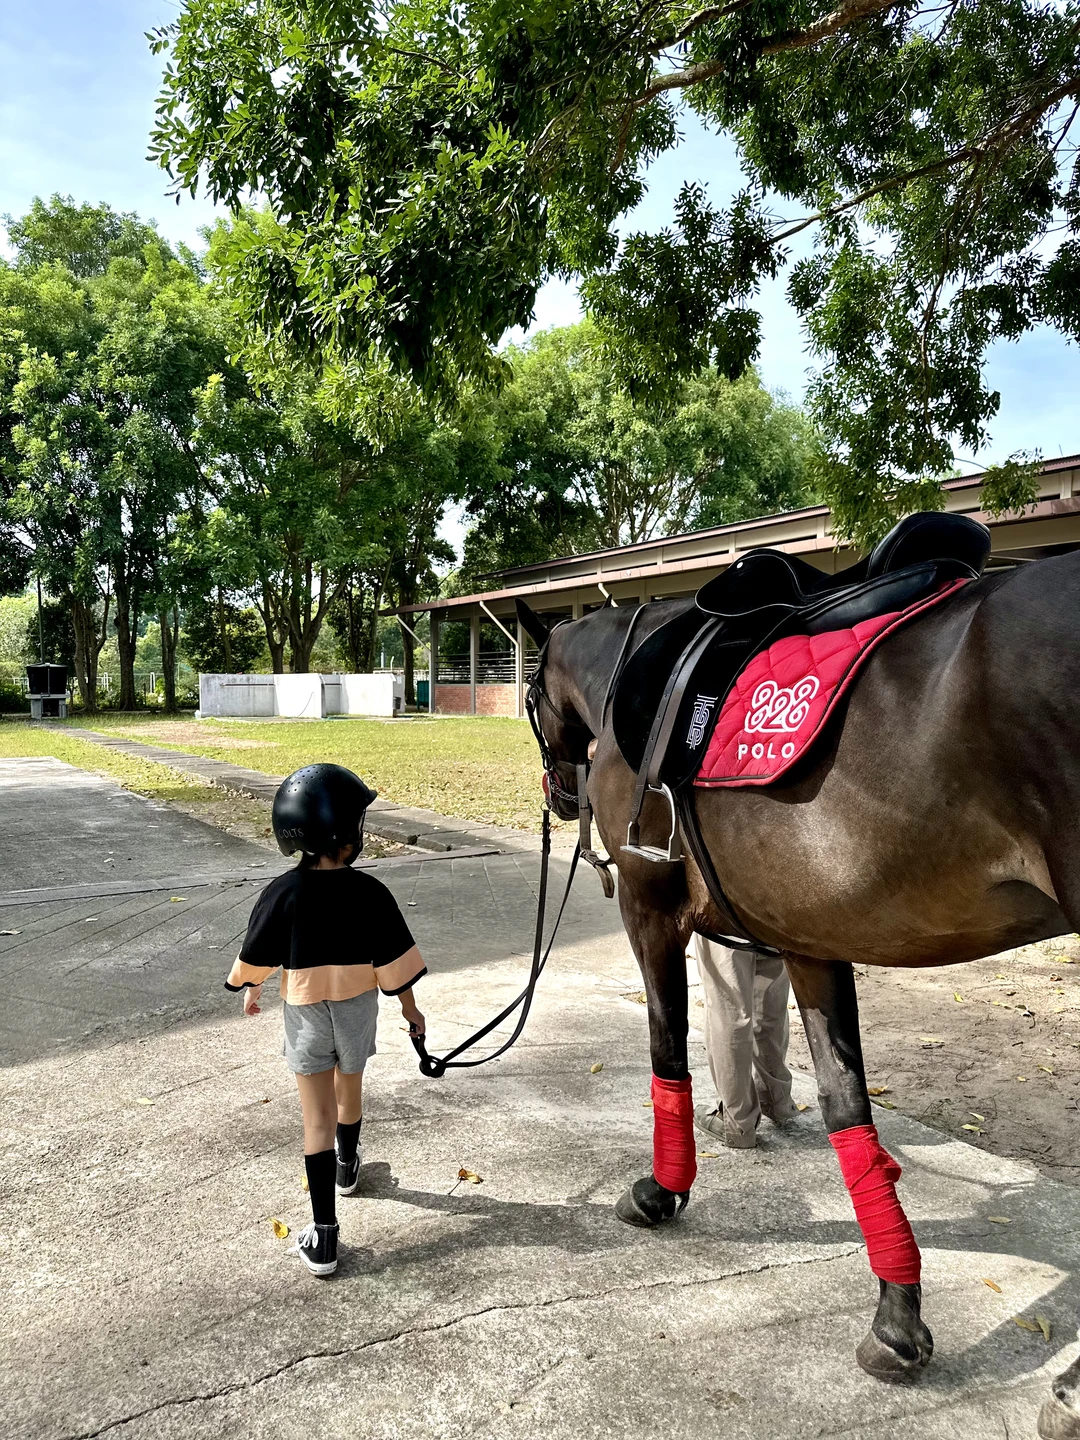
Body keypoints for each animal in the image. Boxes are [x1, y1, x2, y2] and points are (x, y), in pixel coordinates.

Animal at [517, 551, 1080, 1437]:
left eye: (530, 695)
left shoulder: (649, 906)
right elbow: (849, 1111)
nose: (558, 793)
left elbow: (668, 1051)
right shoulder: (813, 942)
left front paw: (661, 1191)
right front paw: (897, 1316)